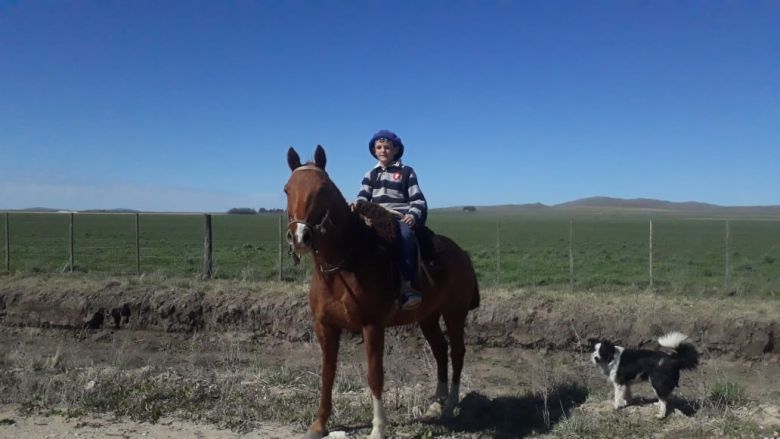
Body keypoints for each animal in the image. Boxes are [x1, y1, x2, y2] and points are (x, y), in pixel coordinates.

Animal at [286, 146, 482, 438]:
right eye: (287, 189)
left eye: (322, 189)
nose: (300, 237)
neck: (346, 263)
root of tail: (461, 253)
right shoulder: (325, 326)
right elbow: (327, 372)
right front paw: (319, 423)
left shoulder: (372, 326)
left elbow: (375, 374)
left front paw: (378, 428)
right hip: (428, 317)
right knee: (439, 350)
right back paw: (436, 403)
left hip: (454, 314)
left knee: (457, 352)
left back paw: (449, 406)